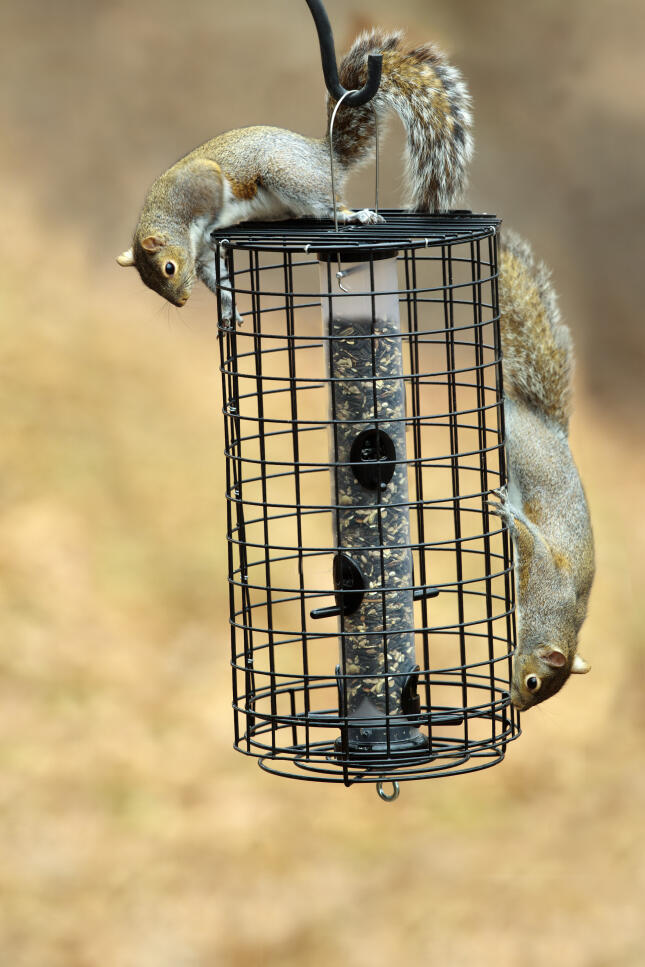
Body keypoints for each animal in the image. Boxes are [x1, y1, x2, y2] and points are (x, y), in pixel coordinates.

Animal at [116, 29, 472, 314]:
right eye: (148, 283)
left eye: (169, 268)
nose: (181, 303)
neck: (173, 217)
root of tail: (325, 156)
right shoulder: (202, 255)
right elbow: (219, 279)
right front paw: (230, 309)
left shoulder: (202, 182)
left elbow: (216, 193)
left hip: (289, 177)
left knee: (330, 206)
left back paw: (353, 216)